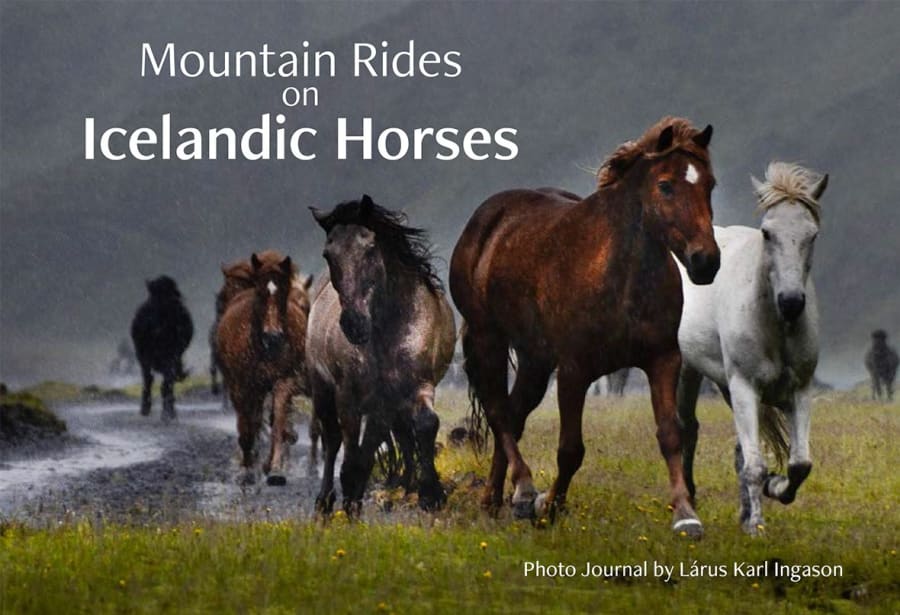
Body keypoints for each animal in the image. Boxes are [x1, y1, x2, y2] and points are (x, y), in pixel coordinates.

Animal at [129, 276, 192, 422]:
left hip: (147, 356)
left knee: (151, 379)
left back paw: (151, 410)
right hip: (167, 355)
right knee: (165, 381)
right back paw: (167, 412)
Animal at [214, 250, 312, 486]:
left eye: (283, 292)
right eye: (259, 292)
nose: (273, 336)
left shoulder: (282, 381)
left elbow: (277, 419)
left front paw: (274, 469)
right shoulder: (241, 387)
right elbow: (247, 426)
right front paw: (248, 470)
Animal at [308, 196, 458, 516]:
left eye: (370, 249)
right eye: (328, 254)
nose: (353, 324)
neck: (389, 329)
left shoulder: (416, 386)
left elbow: (425, 425)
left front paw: (432, 494)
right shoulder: (348, 397)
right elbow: (349, 454)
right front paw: (349, 506)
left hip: (381, 406)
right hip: (322, 389)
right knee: (332, 440)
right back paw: (325, 501)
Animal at [454, 116, 720, 540]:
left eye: (710, 184)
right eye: (665, 185)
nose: (705, 261)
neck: (621, 276)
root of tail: (484, 222)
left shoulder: (662, 360)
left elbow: (670, 434)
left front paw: (685, 515)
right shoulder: (574, 370)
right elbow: (570, 449)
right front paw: (548, 507)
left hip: (534, 360)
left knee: (513, 414)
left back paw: (495, 499)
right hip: (488, 338)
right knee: (498, 412)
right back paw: (523, 490)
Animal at [676, 162, 828, 536]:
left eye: (812, 235)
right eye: (767, 233)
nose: (791, 301)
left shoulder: (799, 390)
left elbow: (799, 463)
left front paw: (773, 488)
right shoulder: (745, 386)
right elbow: (755, 464)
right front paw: (757, 523)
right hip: (688, 370)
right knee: (687, 428)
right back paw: (689, 500)